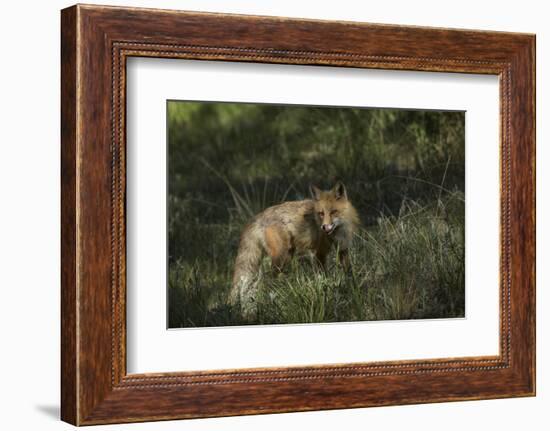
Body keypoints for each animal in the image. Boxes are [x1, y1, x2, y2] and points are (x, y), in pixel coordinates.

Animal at [230, 181, 362, 316]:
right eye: (321, 213)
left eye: (333, 212)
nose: (324, 227)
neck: (337, 233)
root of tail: (259, 216)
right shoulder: (320, 252)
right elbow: (324, 278)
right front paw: (326, 295)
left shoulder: (343, 249)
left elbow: (349, 273)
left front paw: (353, 290)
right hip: (281, 258)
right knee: (264, 282)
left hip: (285, 256)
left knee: (250, 286)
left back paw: (249, 312)